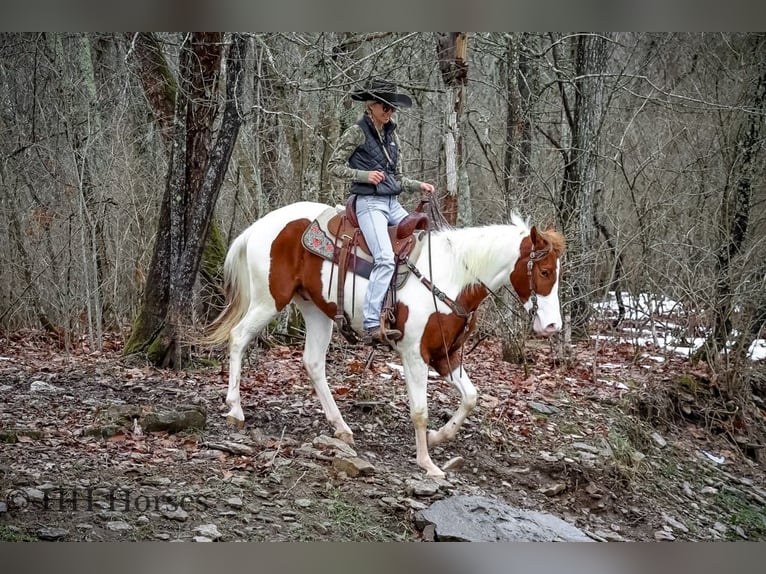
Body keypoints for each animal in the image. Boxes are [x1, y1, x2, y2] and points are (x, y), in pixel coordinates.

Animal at [204, 200, 564, 480]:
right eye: (544, 272)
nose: (552, 325)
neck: (451, 276)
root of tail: (259, 226)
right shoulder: (415, 355)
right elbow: (420, 410)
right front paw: (427, 463)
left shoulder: (446, 355)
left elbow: (471, 397)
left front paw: (437, 437)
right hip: (269, 301)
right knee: (238, 338)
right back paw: (235, 409)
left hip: (316, 311)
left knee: (313, 363)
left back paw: (341, 427)